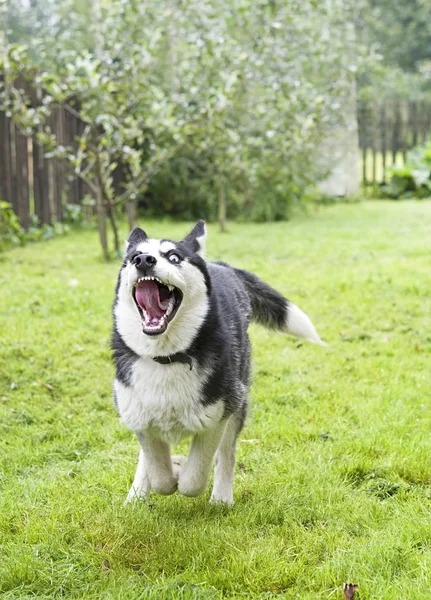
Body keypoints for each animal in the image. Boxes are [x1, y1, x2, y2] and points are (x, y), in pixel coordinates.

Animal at [111, 220, 324, 502]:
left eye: (174, 257)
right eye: (133, 257)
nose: (143, 260)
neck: (167, 358)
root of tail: (221, 265)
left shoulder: (218, 415)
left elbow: (193, 480)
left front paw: (183, 471)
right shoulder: (141, 420)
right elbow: (160, 475)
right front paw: (164, 474)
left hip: (238, 399)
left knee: (227, 454)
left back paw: (221, 498)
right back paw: (137, 495)